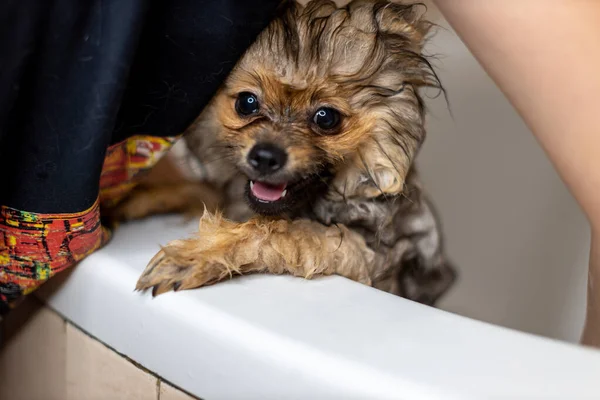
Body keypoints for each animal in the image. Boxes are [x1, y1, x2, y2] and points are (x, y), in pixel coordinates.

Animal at [116, 0, 454, 306]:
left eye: (326, 118)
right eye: (247, 103)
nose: (265, 156)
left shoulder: (365, 253)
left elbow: (276, 231)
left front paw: (199, 253)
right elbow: (201, 191)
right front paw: (140, 196)